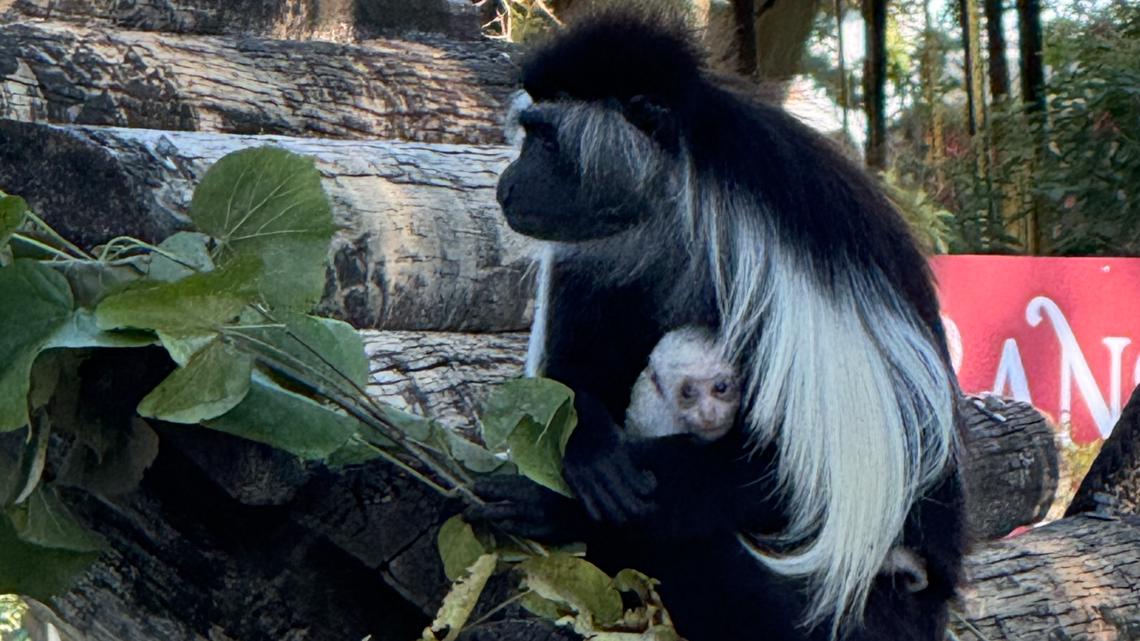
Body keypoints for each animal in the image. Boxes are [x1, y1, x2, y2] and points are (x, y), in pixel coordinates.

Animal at [472, 10, 967, 641]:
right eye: (529, 132)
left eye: (546, 139)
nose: (507, 184)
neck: (672, 192)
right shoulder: (592, 249)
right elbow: (567, 377)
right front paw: (590, 449)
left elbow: (785, 479)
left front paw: (560, 503)